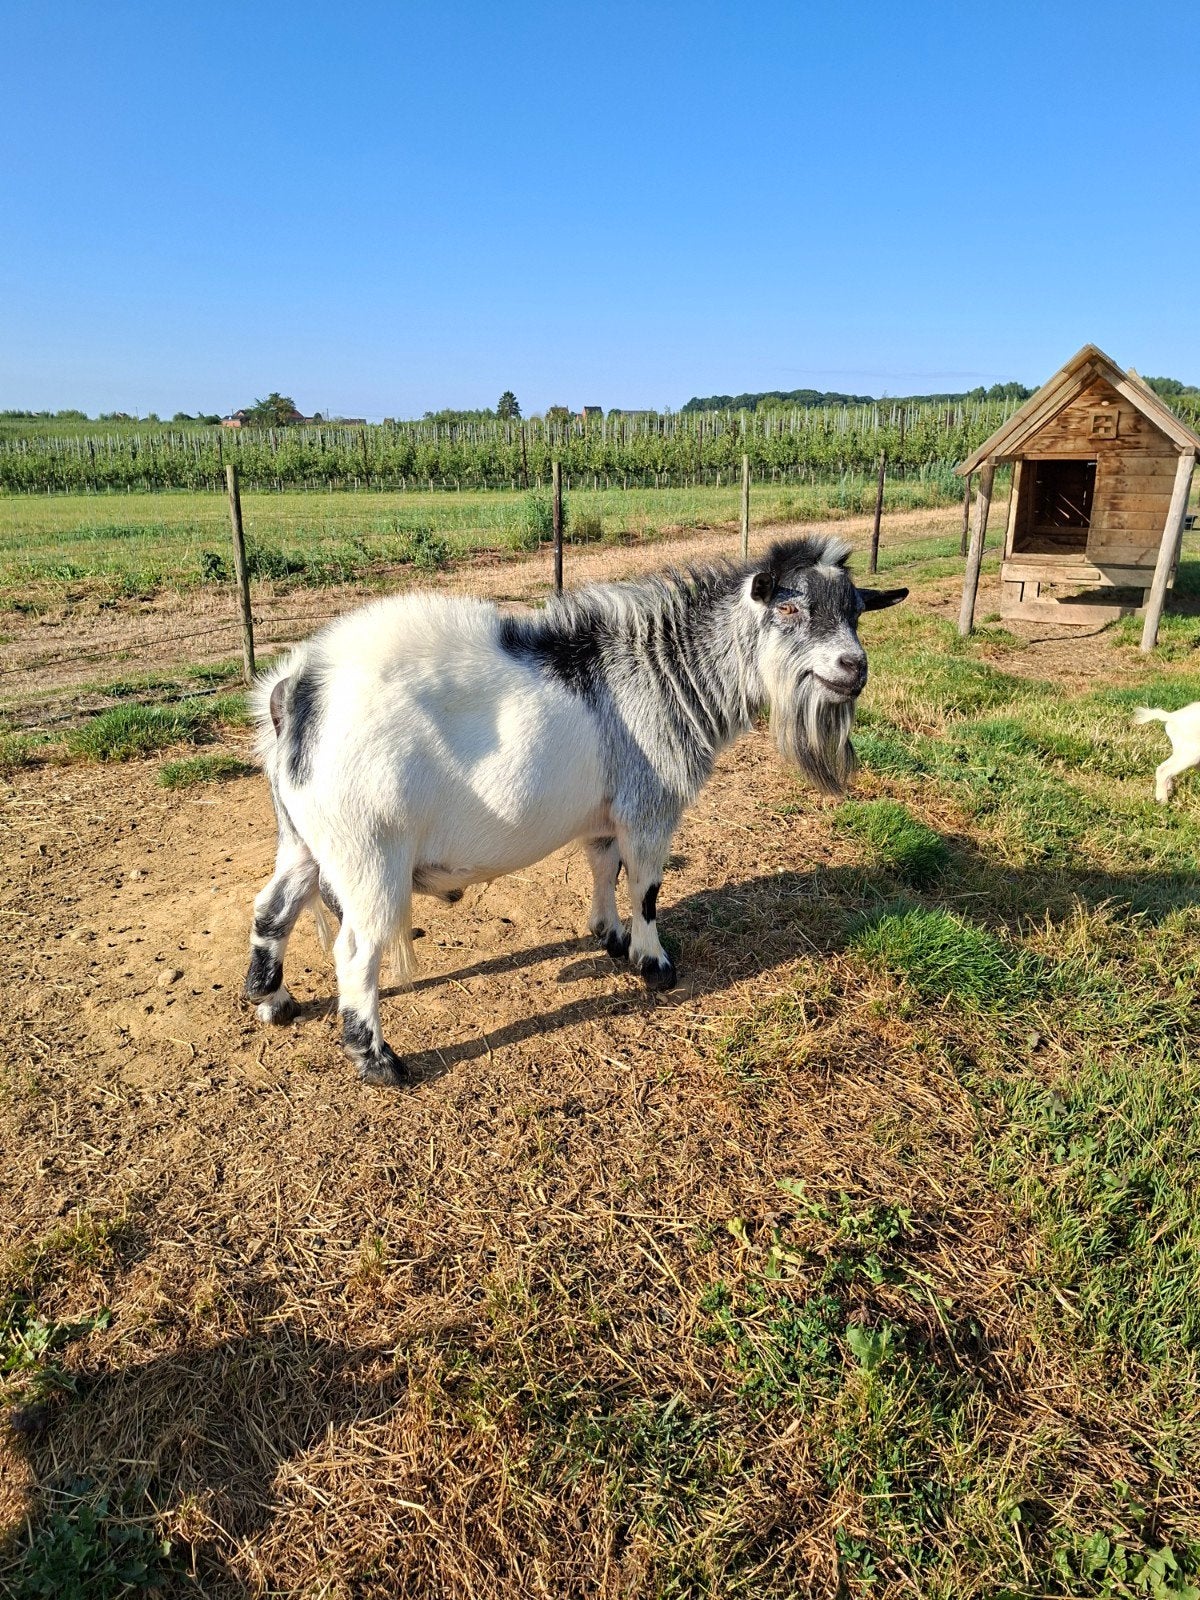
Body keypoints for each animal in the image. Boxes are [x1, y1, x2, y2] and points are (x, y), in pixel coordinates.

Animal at [243, 535, 906, 1086]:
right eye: (790, 610)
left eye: (854, 611)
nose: (853, 667)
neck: (662, 674)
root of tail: (295, 691)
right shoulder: (648, 808)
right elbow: (645, 888)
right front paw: (654, 963)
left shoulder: (606, 814)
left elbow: (603, 869)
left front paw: (608, 935)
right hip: (368, 854)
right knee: (355, 952)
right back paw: (378, 1061)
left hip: (304, 839)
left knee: (273, 907)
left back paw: (272, 1000)